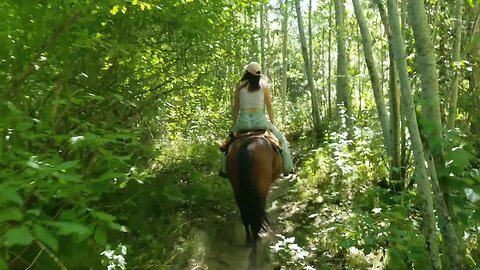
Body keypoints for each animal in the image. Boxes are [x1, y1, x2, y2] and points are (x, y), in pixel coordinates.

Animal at [224, 132, 282, 268]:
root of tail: (247, 146)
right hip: (260, 189)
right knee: (256, 221)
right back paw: (254, 256)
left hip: (238, 190)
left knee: (245, 216)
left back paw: (248, 241)